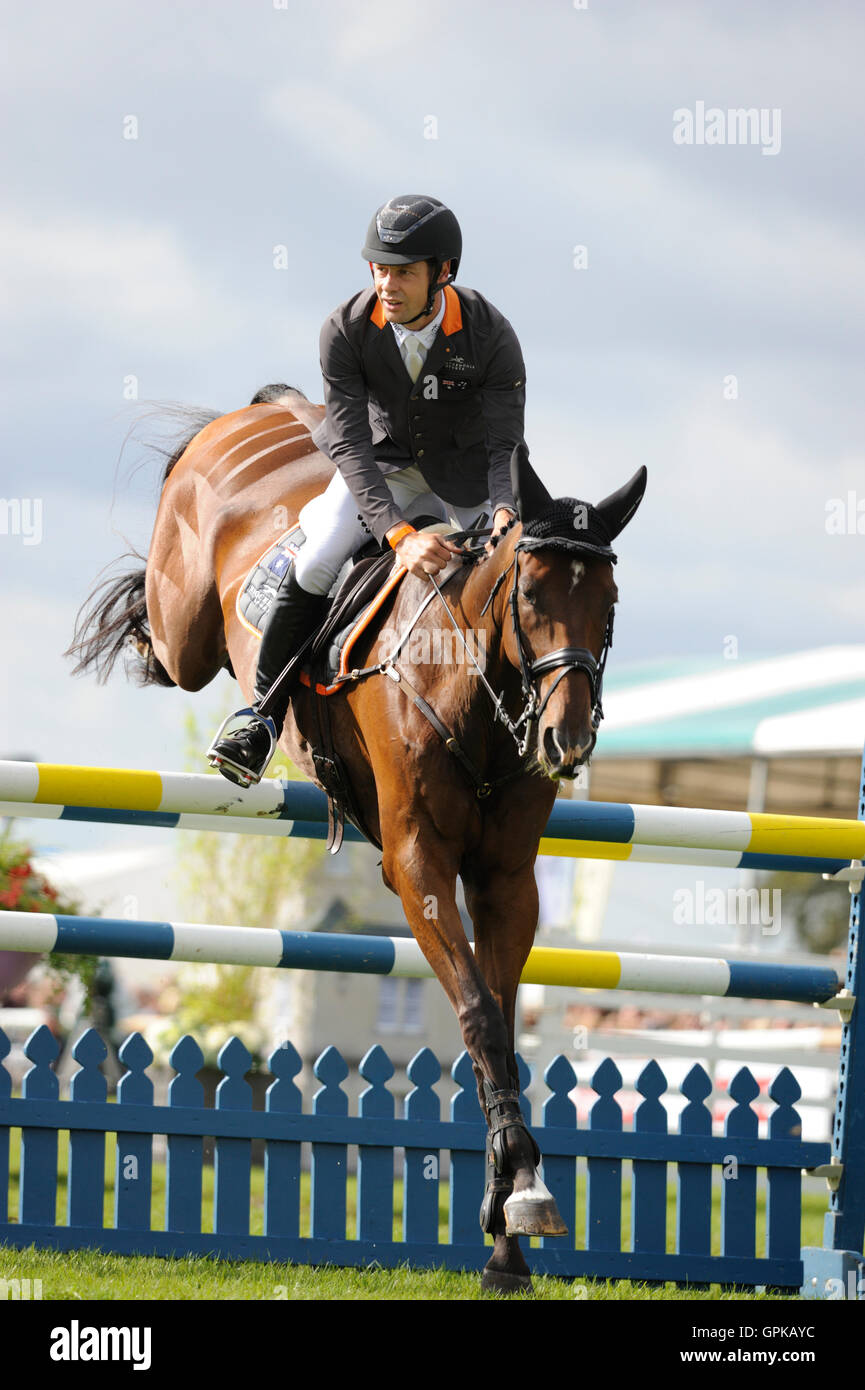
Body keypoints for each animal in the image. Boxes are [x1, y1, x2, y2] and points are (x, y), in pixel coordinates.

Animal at [71, 391, 648, 1289]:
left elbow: (500, 1025)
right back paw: (194, 684)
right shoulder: (418, 865)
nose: (565, 739)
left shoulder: (504, 881)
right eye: (529, 594)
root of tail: (268, 411)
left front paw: (508, 1229)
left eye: (609, 603)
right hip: (190, 624)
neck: (477, 693)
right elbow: (479, 1017)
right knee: (170, 639)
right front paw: (518, 1194)